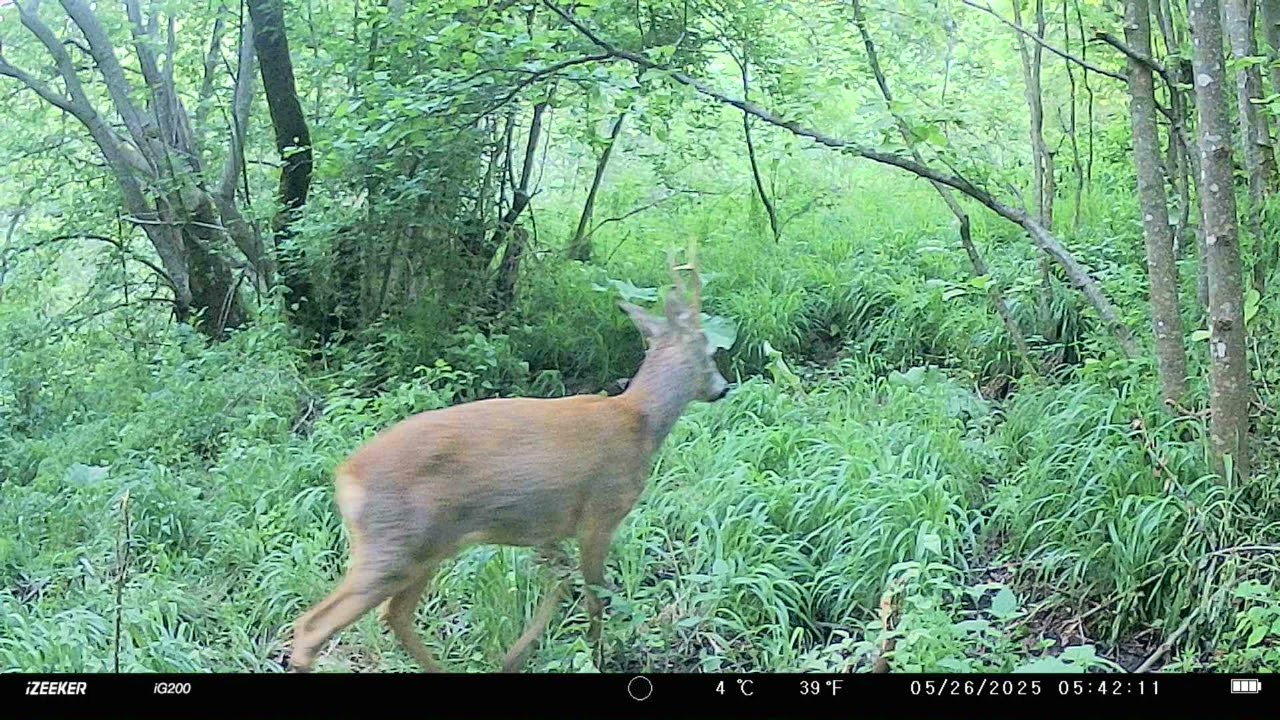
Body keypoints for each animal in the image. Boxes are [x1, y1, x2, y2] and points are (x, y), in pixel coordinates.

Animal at [287, 243, 729, 673]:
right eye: (709, 348)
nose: (722, 388)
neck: (639, 420)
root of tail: (346, 477)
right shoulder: (600, 514)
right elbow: (595, 597)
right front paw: (598, 657)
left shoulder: (547, 526)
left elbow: (561, 580)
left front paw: (514, 657)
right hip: (393, 546)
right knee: (313, 626)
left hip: (425, 550)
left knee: (394, 615)